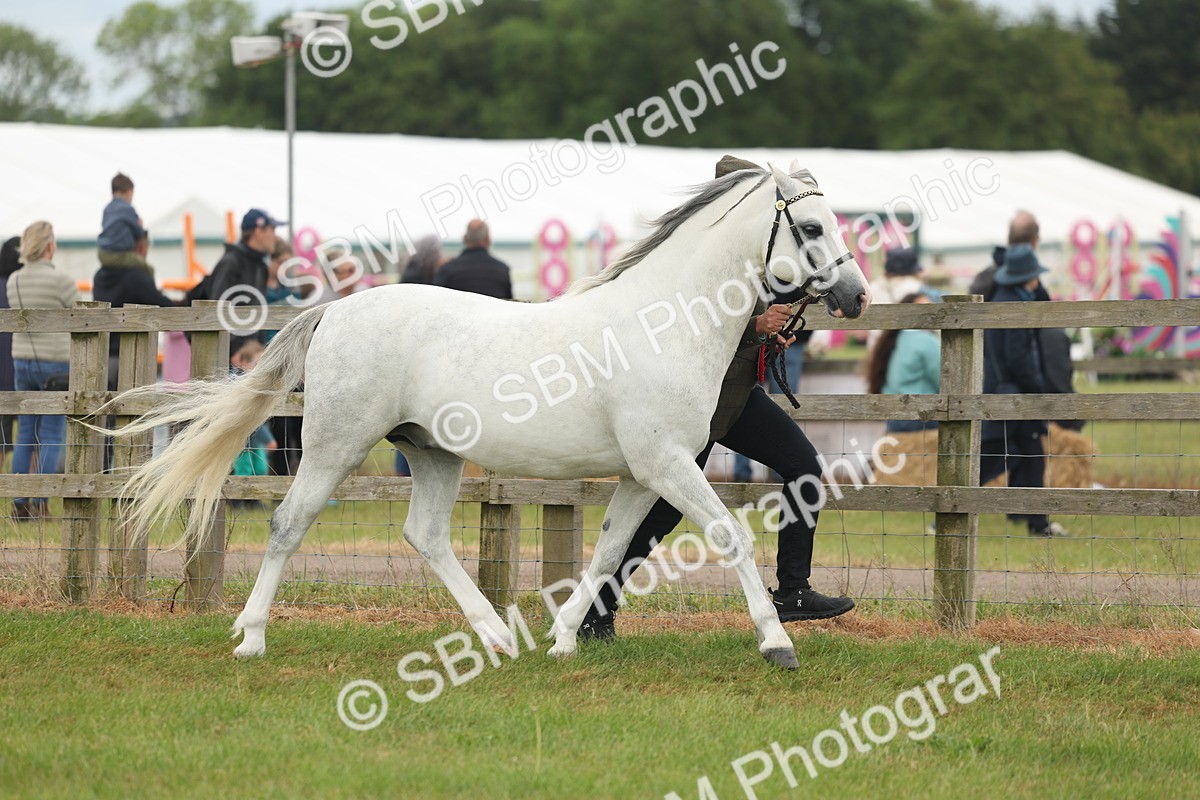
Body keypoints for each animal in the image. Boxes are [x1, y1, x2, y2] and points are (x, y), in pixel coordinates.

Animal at [106, 161, 869, 669]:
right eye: (810, 225)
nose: (857, 296)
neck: (663, 325)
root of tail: (334, 310)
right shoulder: (667, 464)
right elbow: (728, 537)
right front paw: (777, 643)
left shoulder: (643, 473)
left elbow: (609, 550)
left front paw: (562, 639)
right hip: (334, 445)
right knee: (289, 525)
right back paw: (252, 637)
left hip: (433, 452)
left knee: (425, 535)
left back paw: (498, 637)